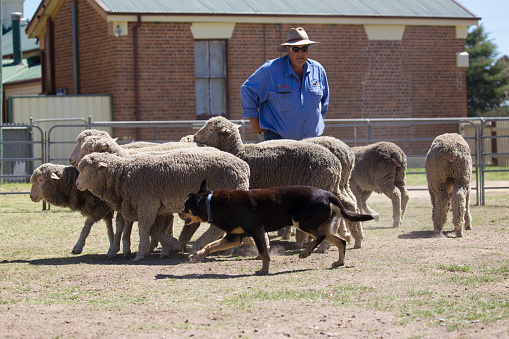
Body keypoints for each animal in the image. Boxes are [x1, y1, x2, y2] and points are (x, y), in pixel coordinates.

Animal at [76, 147, 250, 262]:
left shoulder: (147, 203)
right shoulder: (157, 207)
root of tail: (243, 167)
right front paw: (173, 245)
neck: (123, 176)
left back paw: (198, 246)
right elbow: (155, 229)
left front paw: (141, 253)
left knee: (216, 228)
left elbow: (144, 228)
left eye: (86, 171)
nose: (77, 184)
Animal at [180, 181, 374, 276]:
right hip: (316, 225)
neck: (213, 203)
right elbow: (210, 246)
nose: (180, 214)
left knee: (319, 238)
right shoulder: (234, 237)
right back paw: (339, 262)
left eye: (186, 206)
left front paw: (264, 270)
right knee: (340, 241)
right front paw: (198, 256)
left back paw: (305, 253)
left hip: (301, 222)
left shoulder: (257, 231)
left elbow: (264, 253)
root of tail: (327, 194)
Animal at [192, 117, 364, 250]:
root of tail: (337, 161)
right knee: (348, 203)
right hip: (336, 184)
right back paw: (354, 237)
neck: (239, 151)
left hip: (322, 184)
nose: (194, 137)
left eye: (211, 129)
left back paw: (325, 243)